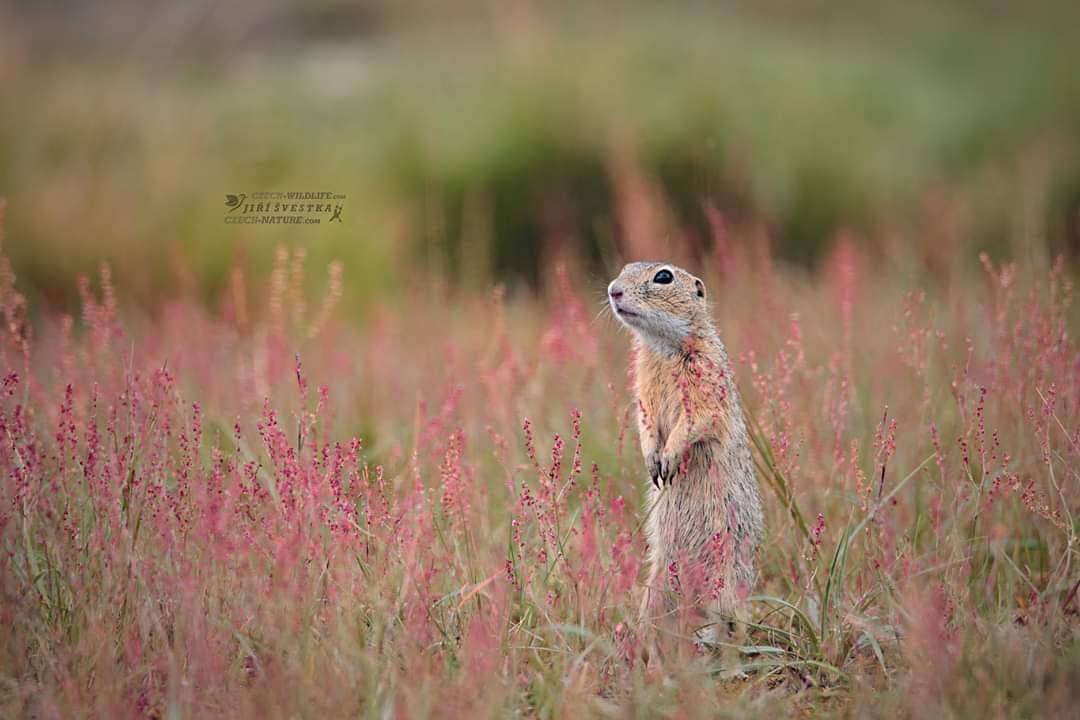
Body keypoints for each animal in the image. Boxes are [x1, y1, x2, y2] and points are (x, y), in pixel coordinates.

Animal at [609, 262, 768, 643]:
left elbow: (696, 418)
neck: (663, 347)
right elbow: (646, 422)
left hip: (727, 578)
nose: (613, 290)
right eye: (624, 269)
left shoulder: (705, 380)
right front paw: (652, 459)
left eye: (663, 277)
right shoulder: (643, 388)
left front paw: (669, 456)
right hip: (657, 587)